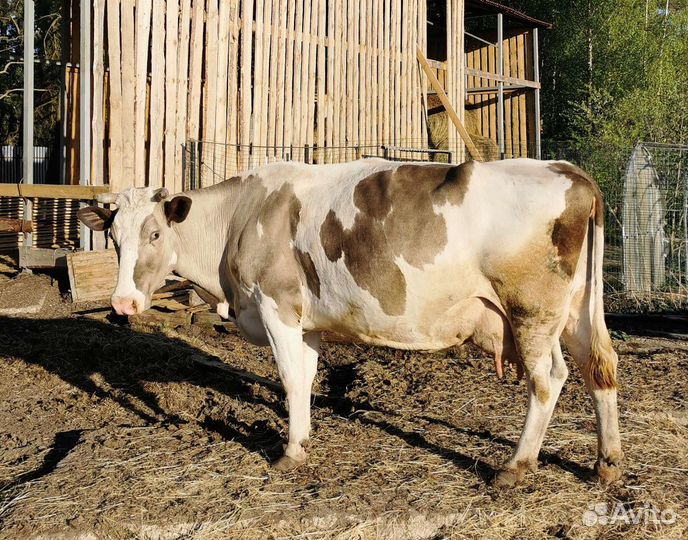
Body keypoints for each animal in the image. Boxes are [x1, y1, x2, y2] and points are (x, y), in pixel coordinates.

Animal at [78, 158, 623, 486]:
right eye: (114, 237)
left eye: (154, 233)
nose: (122, 302)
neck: (239, 218)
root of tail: (568, 170)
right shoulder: (309, 323)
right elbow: (306, 378)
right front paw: (303, 438)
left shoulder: (277, 305)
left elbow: (289, 378)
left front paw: (290, 451)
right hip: (574, 311)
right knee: (599, 368)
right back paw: (607, 462)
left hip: (533, 310)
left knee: (547, 379)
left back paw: (516, 465)